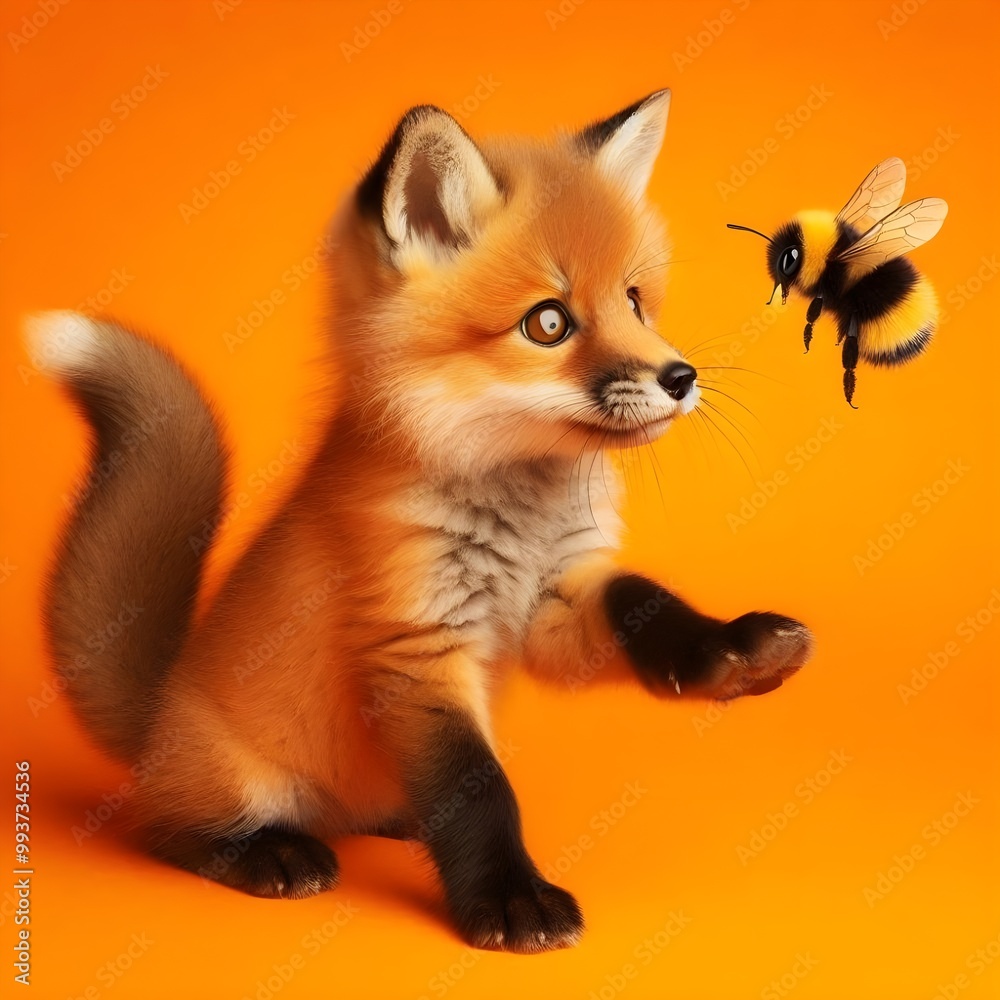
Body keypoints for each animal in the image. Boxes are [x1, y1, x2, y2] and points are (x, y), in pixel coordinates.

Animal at [32, 90, 813, 953]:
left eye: (636, 300)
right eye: (548, 323)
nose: (680, 378)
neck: (519, 516)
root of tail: (157, 713)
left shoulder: (556, 604)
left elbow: (644, 599)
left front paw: (727, 653)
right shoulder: (416, 643)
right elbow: (477, 788)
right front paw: (511, 900)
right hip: (229, 784)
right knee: (165, 831)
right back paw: (265, 852)